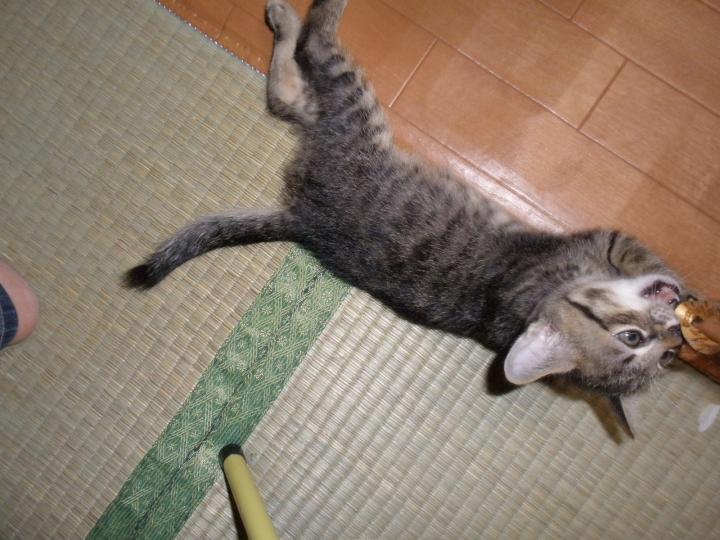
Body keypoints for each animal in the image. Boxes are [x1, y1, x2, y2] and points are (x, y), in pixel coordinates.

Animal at [125, 0, 686, 433]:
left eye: (660, 356)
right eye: (633, 339)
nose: (674, 336)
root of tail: (302, 219)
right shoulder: (597, 241)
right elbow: (639, 252)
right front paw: (685, 297)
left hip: (342, 119)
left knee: (291, 86)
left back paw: (284, 17)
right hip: (355, 111)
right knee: (314, 48)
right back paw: (307, 11)